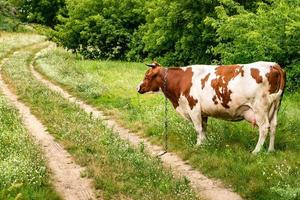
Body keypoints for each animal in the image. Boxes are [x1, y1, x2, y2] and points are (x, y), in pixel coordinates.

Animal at [137, 61, 284, 153]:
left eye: (147, 76)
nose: (138, 87)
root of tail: (273, 64)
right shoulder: (203, 113)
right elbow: (203, 128)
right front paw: (205, 143)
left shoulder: (193, 108)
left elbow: (197, 129)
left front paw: (198, 145)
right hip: (275, 107)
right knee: (273, 126)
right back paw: (270, 150)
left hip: (260, 108)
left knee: (264, 128)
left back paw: (256, 151)